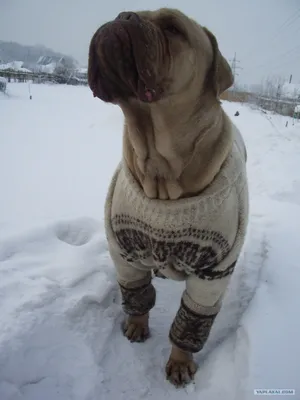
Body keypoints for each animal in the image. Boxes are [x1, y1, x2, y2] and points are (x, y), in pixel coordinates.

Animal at [87, 7, 248, 388]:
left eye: (174, 28)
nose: (123, 15)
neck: (160, 170)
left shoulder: (213, 273)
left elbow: (192, 318)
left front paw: (180, 361)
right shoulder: (124, 252)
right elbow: (135, 293)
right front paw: (136, 324)